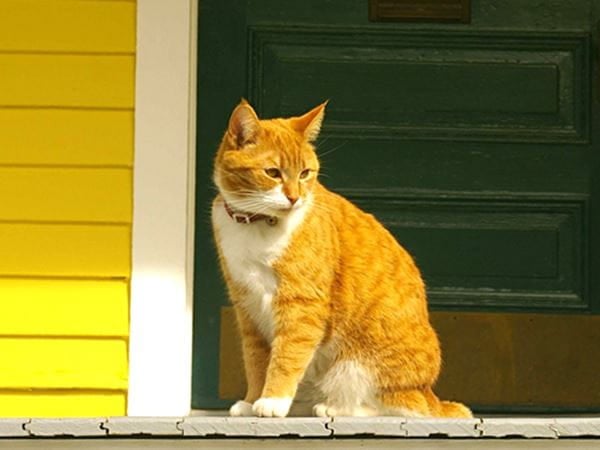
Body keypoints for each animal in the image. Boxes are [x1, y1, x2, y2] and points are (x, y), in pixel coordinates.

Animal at [213, 99, 472, 418]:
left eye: (305, 173)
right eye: (272, 172)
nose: (294, 198)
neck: (257, 224)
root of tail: (428, 392)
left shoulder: (302, 306)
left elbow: (286, 356)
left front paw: (273, 400)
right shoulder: (246, 307)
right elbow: (255, 361)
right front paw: (251, 401)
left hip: (362, 364)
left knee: (393, 405)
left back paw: (335, 407)